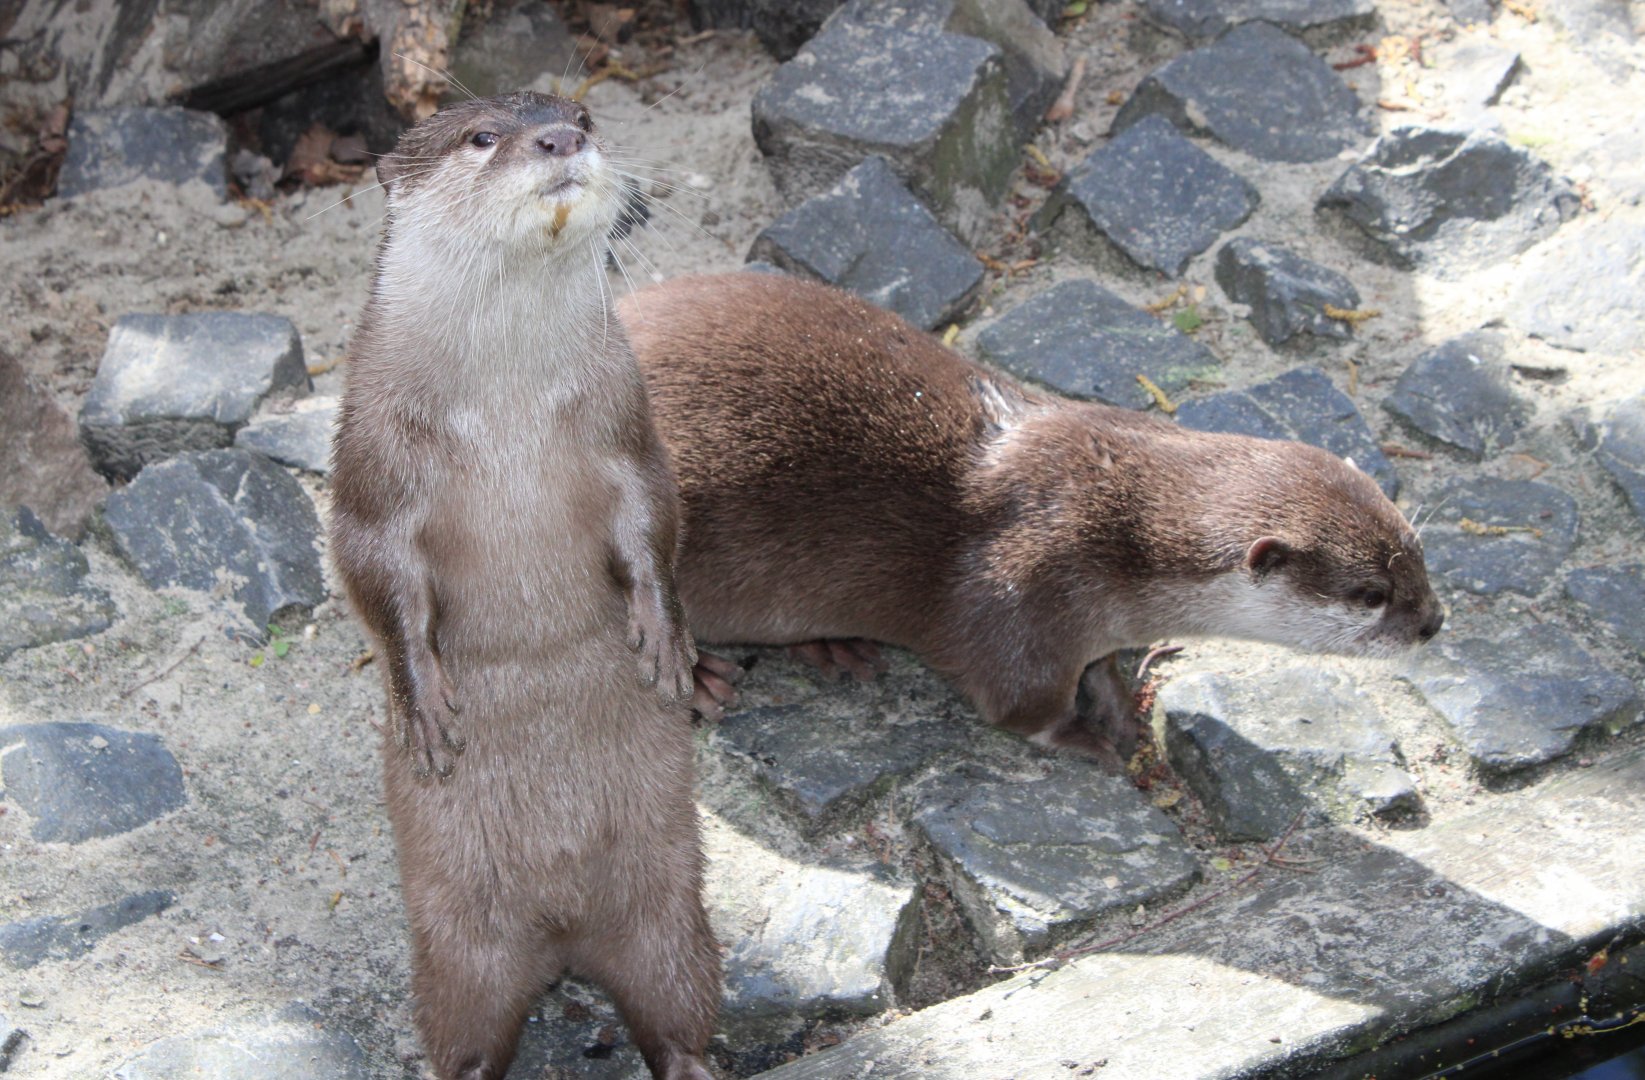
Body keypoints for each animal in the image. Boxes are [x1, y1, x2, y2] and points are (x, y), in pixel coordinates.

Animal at [329, 94, 718, 1080]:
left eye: (582, 113)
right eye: (480, 137)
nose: (560, 139)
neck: (507, 408)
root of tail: (562, 934)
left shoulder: (624, 421)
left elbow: (655, 512)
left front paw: (666, 637)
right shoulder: (373, 456)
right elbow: (368, 566)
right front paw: (421, 700)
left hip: (671, 911)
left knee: (676, 1001)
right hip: (456, 948)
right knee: (463, 1029)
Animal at [621, 271, 1444, 765]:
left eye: (1417, 552)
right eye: (1371, 593)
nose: (1434, 622)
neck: (1119, 531)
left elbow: (1102, 664)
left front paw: (1121, 696)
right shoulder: (1026, 590)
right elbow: (1019, 705)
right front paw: (1089, 736)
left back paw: (833, 645)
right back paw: (698, 677)